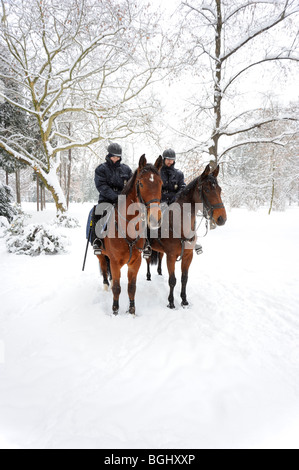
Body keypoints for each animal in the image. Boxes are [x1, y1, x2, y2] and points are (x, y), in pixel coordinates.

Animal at [98, 155, 164, 316]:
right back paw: (106, 285)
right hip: (101, 254)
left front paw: (132, 311)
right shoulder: (115, 262)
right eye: (140, 183)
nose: (155, 219)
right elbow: (117, 288)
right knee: (104, 268)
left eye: (161, 183)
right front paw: (115, 311)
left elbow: (131, 287)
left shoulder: (135, 261)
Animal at [147, 163, 227, 310]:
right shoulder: (171, 257)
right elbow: (172, 280)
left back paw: (159, 272)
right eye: (207, 190)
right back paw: (148, 276)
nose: (222, 218)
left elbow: (184, 278)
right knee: (148, 260)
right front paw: (171, 302)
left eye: (219, 189)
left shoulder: (188, 256)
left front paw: (184, 300)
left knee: (159, 257)